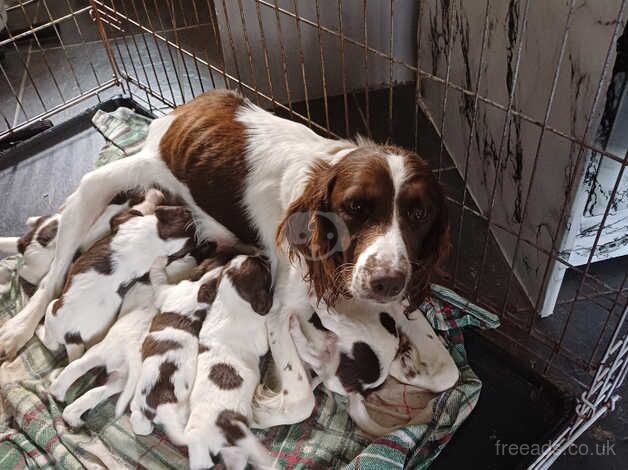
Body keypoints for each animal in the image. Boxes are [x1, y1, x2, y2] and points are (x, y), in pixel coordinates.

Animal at [36, 195, 194, 360]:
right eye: (186, 213)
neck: (162, 239)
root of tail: (73, 335)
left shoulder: (124, 219)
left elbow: (133, 211)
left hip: (52, 312)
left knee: (50, 343)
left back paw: (39, 329)